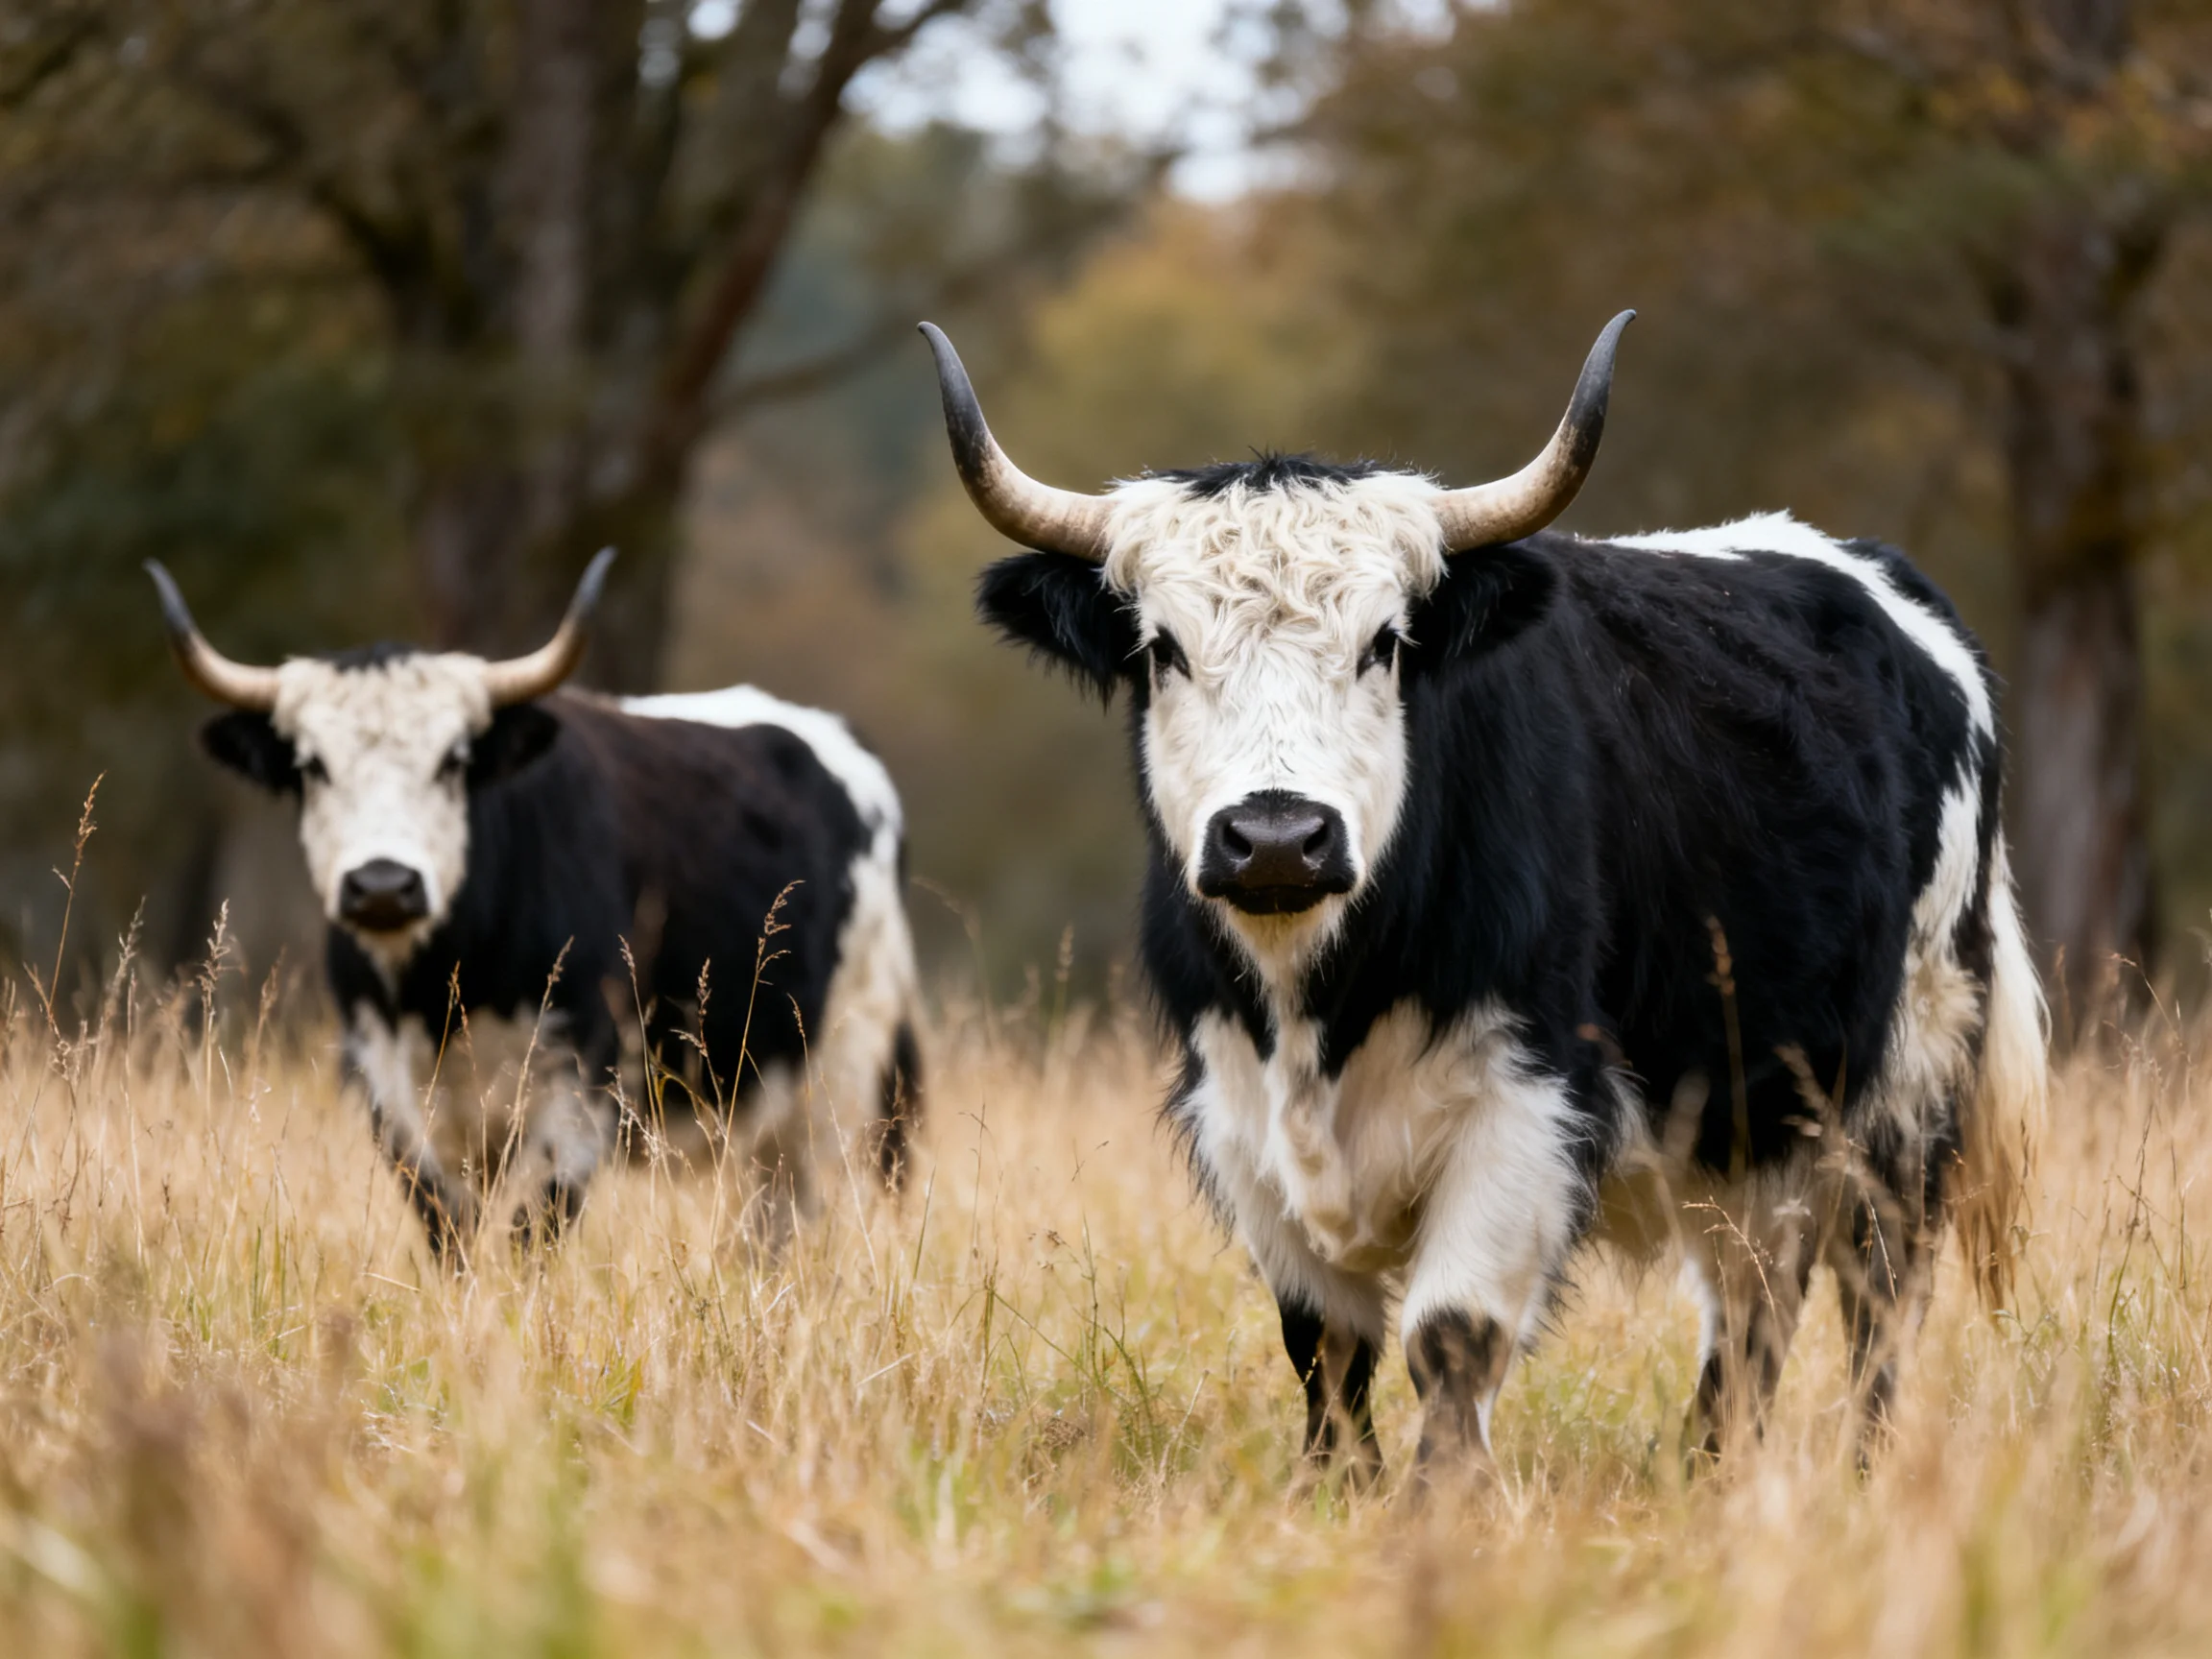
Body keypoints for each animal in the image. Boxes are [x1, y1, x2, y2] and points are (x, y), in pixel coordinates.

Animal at [147, 552, 923, 1258]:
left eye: (455, 760)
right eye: (311, 764)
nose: (383, 885)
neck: (448, 992)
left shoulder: (577, 1097)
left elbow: (532, 1237)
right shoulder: (393, 1097)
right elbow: (449, 1234)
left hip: (841, 1084)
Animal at [921, 313, 2046, 1485]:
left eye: (1385, 643)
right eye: (1163, 649)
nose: (1276, 836)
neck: (1320, 1009)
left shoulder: (1526, 1108)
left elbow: (1451, 1337)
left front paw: (1440, 1506)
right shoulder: (1238, 1116)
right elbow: (1325, 1349)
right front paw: (1340, 1493)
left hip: (1909, 1083)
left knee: (1879, 1296)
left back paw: (1861, 1476)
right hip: (1751, 1129)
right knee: (1752, 1308)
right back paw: (1711, 1477)